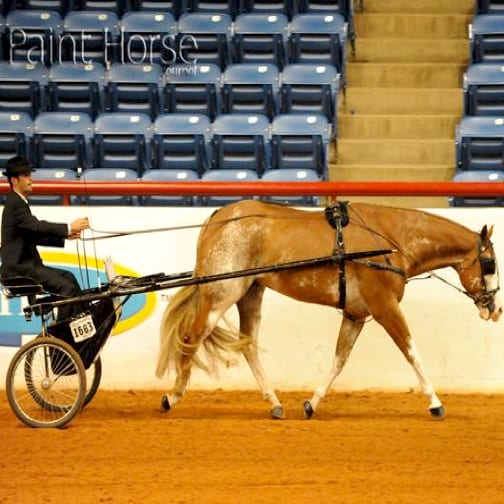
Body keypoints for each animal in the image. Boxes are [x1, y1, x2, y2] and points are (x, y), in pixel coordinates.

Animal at [156, 199, 502, 420]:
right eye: (489, 263)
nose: (496, 308)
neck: (391, 242)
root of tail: (219, 216)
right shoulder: (385, 307)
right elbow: (411, 351)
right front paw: (435, 402)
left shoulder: (355, 315)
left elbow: (339, 360)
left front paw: (312, 403)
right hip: (222, 293)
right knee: (191, 337)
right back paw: (172, 396)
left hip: (250, 293)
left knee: (249, 345)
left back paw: (274, 402)